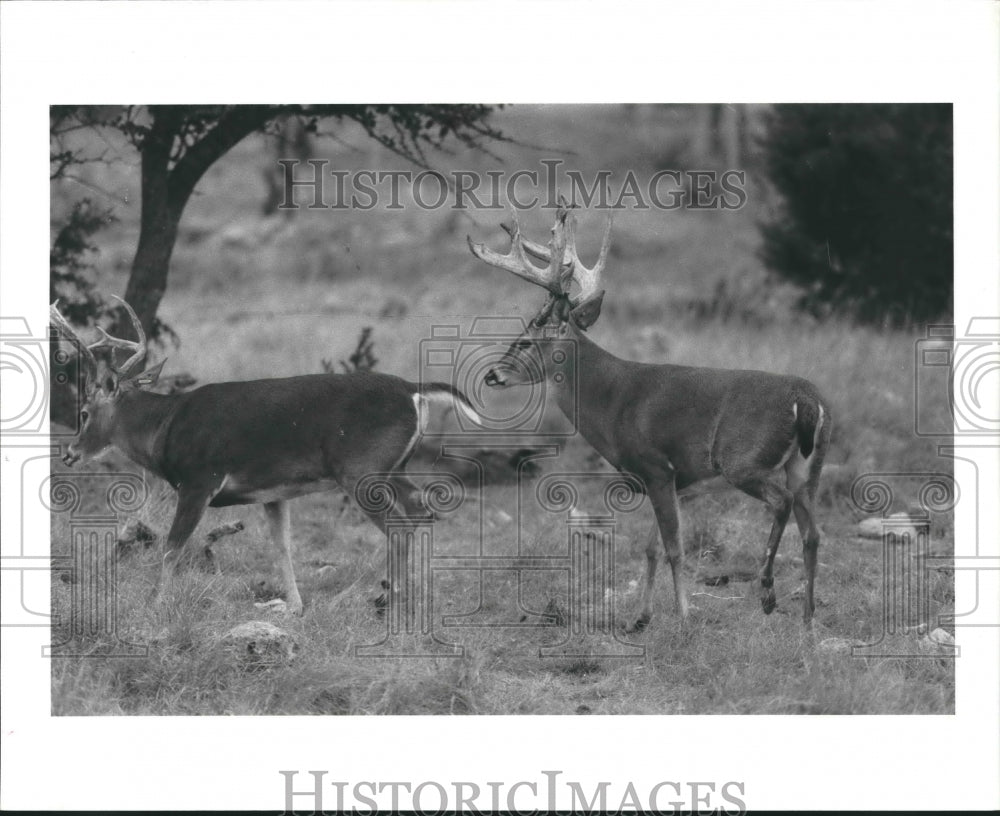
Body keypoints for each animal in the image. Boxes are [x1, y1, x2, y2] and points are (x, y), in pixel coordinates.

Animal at [49, 297, 482, 616]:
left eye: (83, 412)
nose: (69, 453)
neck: (164, 428)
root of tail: (413, 389)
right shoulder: (273, 492)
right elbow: (282, 547)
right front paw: (294, 606)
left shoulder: (199, 479)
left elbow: (172, 546)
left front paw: (154, 604)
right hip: (394, 467)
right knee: (421, 507)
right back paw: (407, 595)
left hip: (361, 469)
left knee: (399, 524)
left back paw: (388, 598)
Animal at [468, 204, 832, 631]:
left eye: (525, 340)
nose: (493, 375)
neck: (614, 402)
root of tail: (807, 401)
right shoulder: (669, 481)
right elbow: (650, 548)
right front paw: (639, 619)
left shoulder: (657, 466)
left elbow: (674, 548)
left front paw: (684, 616)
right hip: (807, 466)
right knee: (813, 532)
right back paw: (807, 618)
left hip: (744, 460)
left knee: (781, 503)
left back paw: (768, 593)